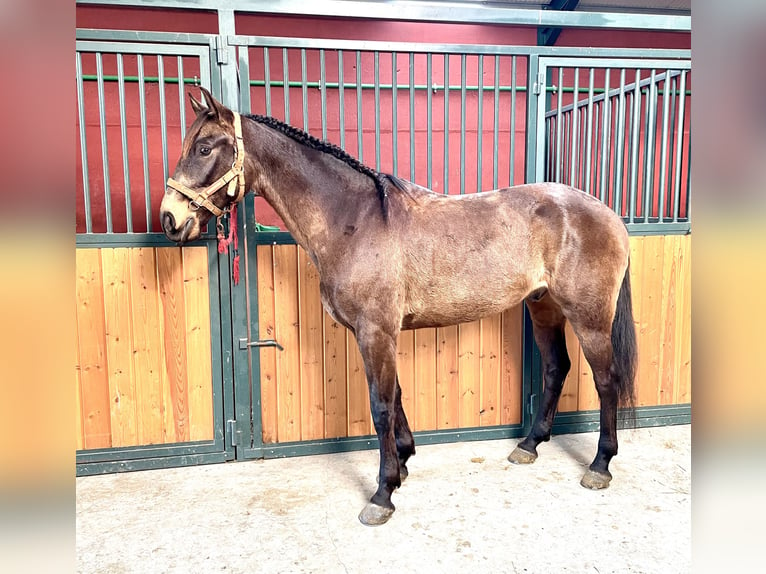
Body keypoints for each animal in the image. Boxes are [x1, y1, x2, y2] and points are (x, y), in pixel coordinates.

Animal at [164, 89, 640, 528]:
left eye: (204, 148)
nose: (170, 219)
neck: (353, 220)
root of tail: (607, 213)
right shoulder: (379, 333)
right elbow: (394, 398)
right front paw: (404, 463)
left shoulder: (375, 331)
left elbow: (380, 406)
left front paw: (383, 493)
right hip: (544, 308)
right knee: (557, 368)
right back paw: (528, 447)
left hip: (590, 317)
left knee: (606, 380)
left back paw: (600, 466)